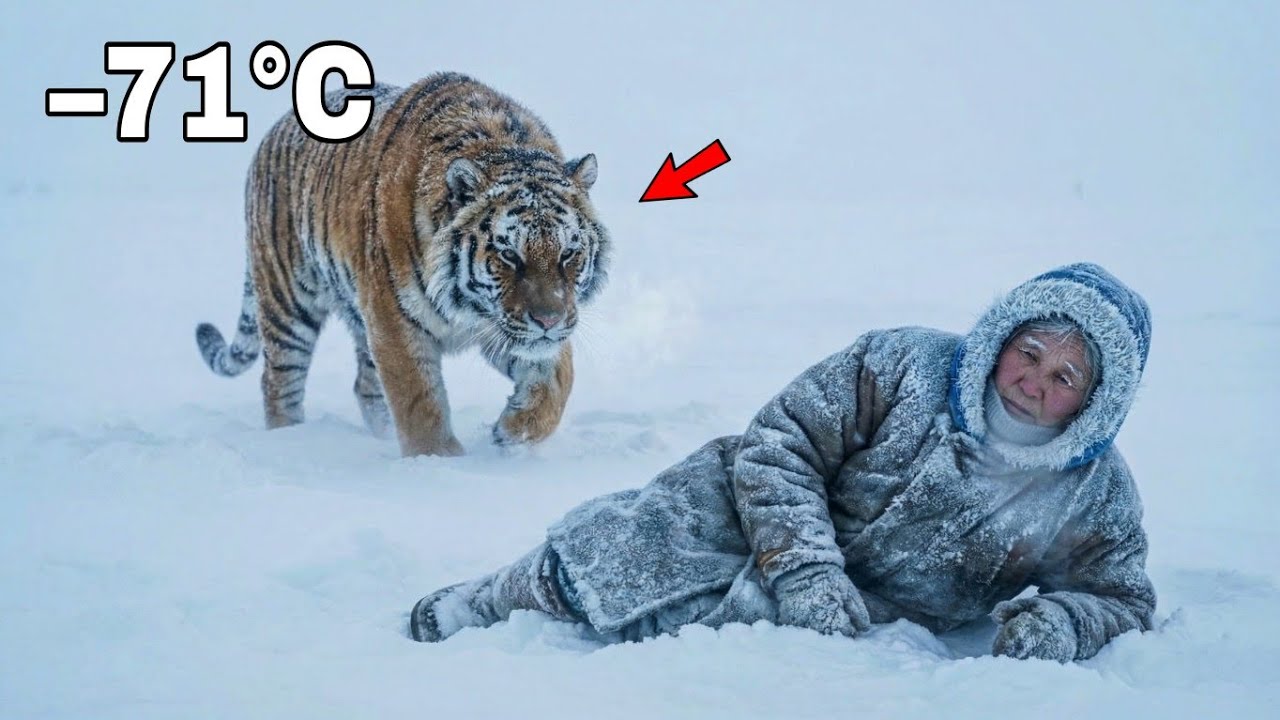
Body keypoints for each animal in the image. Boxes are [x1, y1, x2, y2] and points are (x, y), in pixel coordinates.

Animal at [195, 72, 611, 457]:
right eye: (509, 254)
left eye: (568, 254)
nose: (548, 321)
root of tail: (275, 129)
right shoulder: (394, 321)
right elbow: (418, 400)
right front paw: (439, 463)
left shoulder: (501, 327)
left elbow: (558, 378)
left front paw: (514, 431)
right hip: (288, 301)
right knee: (279, 383)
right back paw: (288, 441)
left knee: (364, 385)